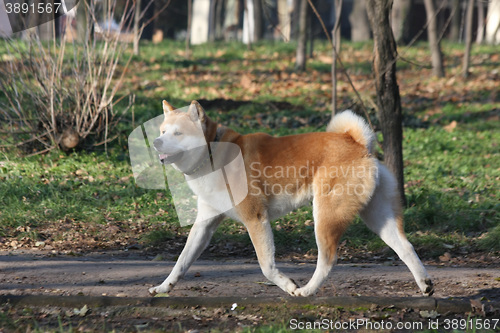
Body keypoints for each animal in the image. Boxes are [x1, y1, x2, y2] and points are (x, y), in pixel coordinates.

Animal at [149, 99, 434, 296]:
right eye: (162, 131)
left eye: (177, 133)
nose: (156, 142)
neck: (214, 154)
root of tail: (356, 142)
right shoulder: (205, 224)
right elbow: (181, 261)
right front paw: (164, 287)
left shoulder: (256, 219)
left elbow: (267, 266)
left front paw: (287, 284)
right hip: (377, 217)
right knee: (406, 247)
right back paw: (425, 284)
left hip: (326, 216)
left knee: (328, 259)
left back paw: (307, 290)